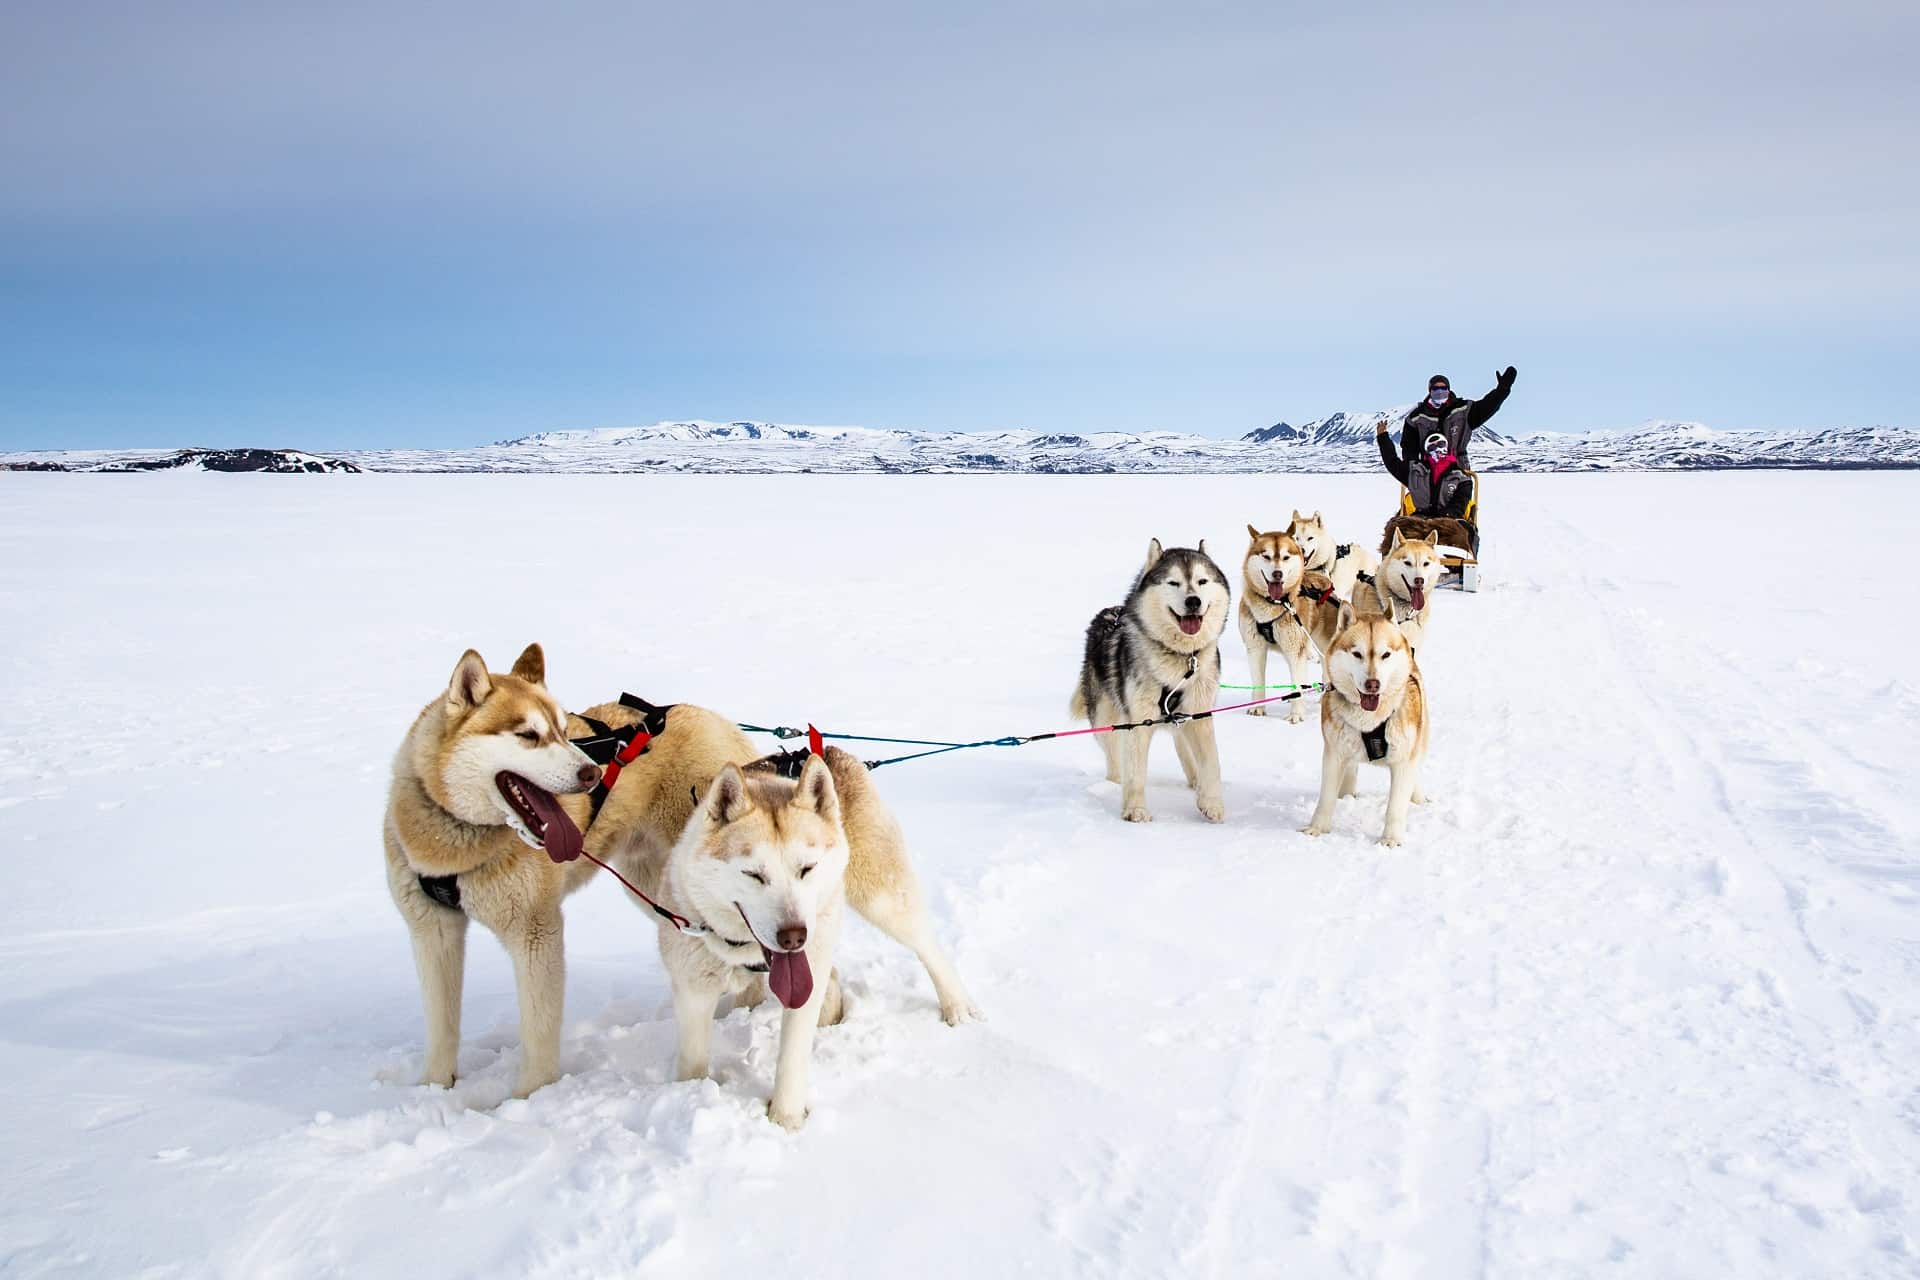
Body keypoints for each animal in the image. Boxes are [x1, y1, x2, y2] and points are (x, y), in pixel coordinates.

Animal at [1067, 537, 1228, 821]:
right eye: (1173, 583)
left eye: (1202, 581)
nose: (1193, 601)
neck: (1180, 659)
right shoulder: (1137, 720)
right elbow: (1135, 773)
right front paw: (1135, 810)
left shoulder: (1200, 714)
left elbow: (1211, 763)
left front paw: (1211, 803)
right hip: (1106, 719)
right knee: (1115, 759)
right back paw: (1112, 785)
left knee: (1184, 748)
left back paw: (1195, 783)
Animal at [1236, 521, 1344, 721]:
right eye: (1266, 556)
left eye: (1286, 557)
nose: (1277, 574)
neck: (1272, 606)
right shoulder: (1255, 647)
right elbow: (1258, 681)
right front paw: (1258, 709)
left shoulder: (1295, 652)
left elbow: (1297, 684)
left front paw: (1296, 715)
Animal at [1297, 606, 1436, 844]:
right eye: (1357, 654)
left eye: (1386, 654)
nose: (1373, 684)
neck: (1371, 721)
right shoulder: (1334, 754)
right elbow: (1326, 798)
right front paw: (1317, 828)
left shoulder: (1403, 760)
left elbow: (1395, 806)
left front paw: (1390, 840)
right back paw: (1347, 794)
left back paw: (1417, 798)